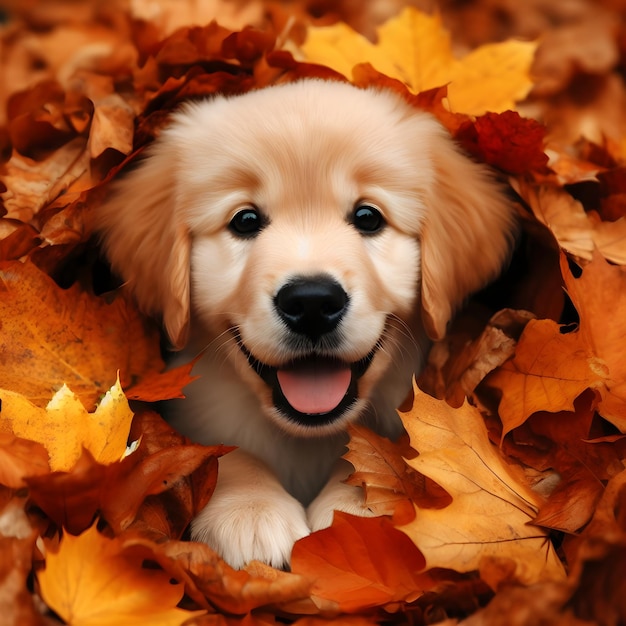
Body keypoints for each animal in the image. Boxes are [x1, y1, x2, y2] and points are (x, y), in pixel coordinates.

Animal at [97, 78, 516, 564]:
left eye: (368, 217)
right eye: (245, 220)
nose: (312, 302)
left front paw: (362, 506)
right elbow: (222, 449)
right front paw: (250, 510)